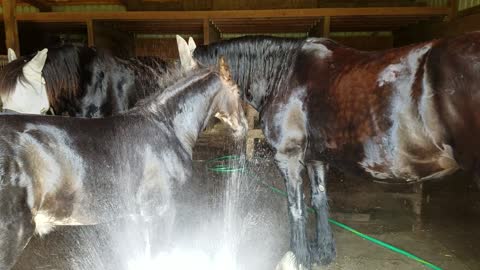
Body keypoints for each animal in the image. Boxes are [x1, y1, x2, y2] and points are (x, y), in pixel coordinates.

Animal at [189, 31, 480, 268]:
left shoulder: (288, 157)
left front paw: (299, 257)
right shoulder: (316, 159)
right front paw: (323, 253)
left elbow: (295, 206)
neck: (284, 74)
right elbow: (319, 201)